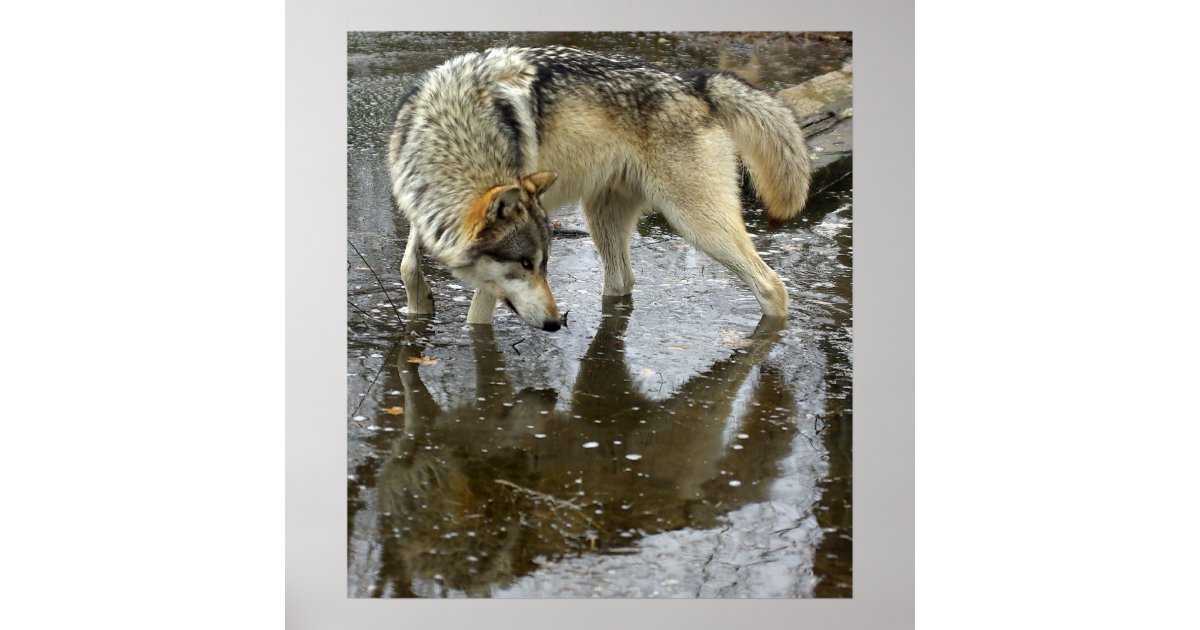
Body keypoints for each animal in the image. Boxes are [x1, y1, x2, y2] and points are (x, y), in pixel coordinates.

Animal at [387, 46, 812, 331]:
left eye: (538, 264)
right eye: (526, 264)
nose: (555, 323)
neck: (456, 126)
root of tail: (695, 83)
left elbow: (477, 317)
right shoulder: (417, 206)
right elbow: (408, 265)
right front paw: (419, 304)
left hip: (695, 224)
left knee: (773, 286)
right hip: (601, 219)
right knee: (622, 280)